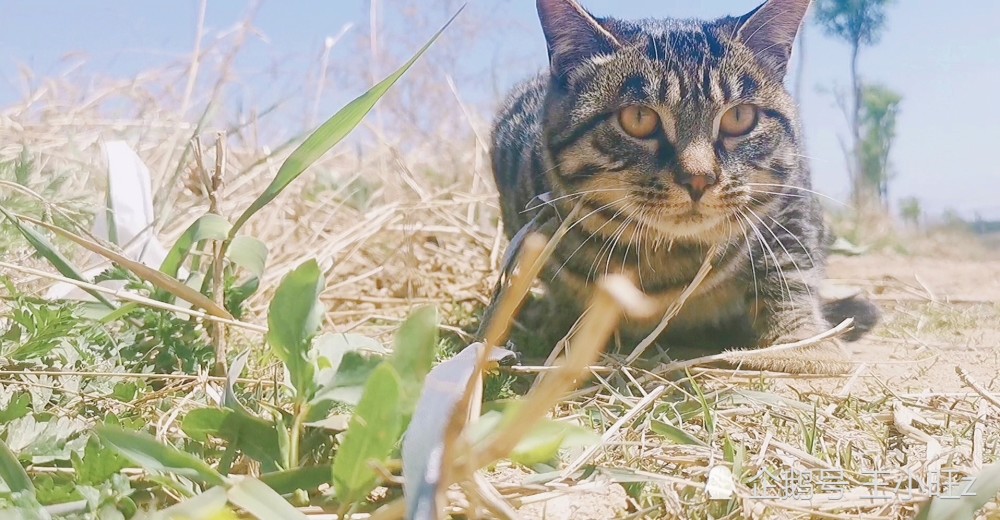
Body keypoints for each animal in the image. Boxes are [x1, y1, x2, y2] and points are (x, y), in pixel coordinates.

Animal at [488, 0, 880, 372]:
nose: (699, 177)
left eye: (740, 117)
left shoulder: (794, 202)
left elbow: (790, 271)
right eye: (638, 118)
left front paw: (802, 344)